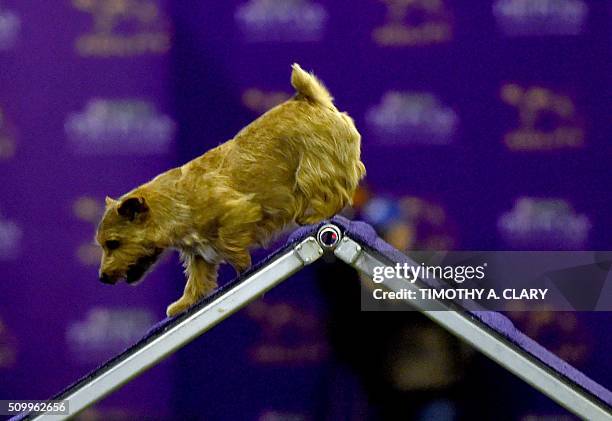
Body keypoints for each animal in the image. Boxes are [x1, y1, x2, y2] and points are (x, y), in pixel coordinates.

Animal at [95, 64, 364, 316]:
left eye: (113, 243)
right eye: (103, 245)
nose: (102, 278)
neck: (174, 204)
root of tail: (310, 98)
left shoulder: (238, 212)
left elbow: (229, 243)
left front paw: (242, 265)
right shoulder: (198, 254)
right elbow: (197, 279)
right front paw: (185, 303)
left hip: (313, 172)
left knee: (338, 194)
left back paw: (314, 216)